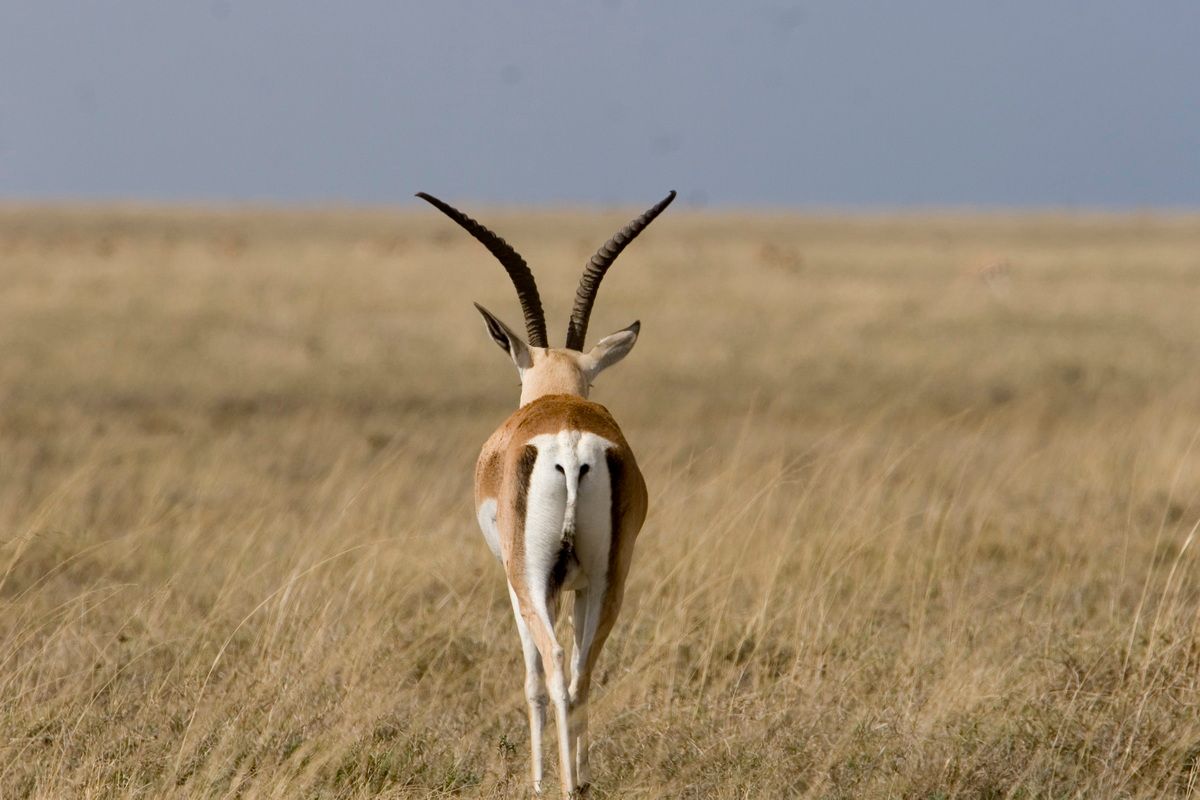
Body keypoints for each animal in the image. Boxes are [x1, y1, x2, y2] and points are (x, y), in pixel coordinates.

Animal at [417, 190, 675, 796]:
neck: (558, 397)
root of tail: (571, 440)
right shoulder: (578, 584)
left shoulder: (516, 582)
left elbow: (532, 678)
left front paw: (536, 778)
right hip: (609, 579)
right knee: (583, 671)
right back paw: (578, 781)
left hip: (532, 578)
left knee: (555, 665)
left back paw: (558, 785)